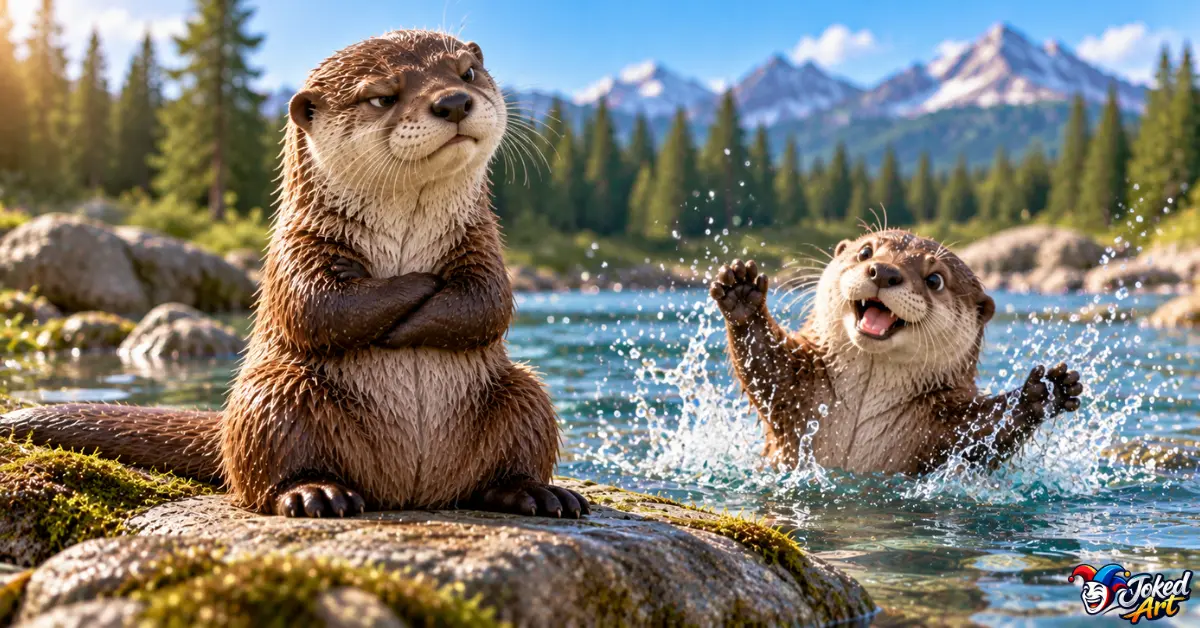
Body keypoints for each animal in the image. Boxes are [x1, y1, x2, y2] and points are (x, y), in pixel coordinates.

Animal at [1, 30, 588, 519]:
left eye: (467, 72)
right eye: (382, 96)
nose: (454, 101)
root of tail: (412, 492)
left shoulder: (483, 243)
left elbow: (489, 302)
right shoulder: (295, 246)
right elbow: (317, 308)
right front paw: (413, 287)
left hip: (520, 394)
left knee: (517, 433)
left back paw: (536, 492)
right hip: (273, 394)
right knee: (265, 472)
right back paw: (315, 493)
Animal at [710, 230, 1083, 475]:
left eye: (935, 279)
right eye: (865, 252)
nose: (885, 271)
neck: (861, 409)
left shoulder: (939, 426)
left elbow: (983, 432)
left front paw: (1044, 392)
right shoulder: (800, 387)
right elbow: (767, 368)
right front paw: (742, 293)